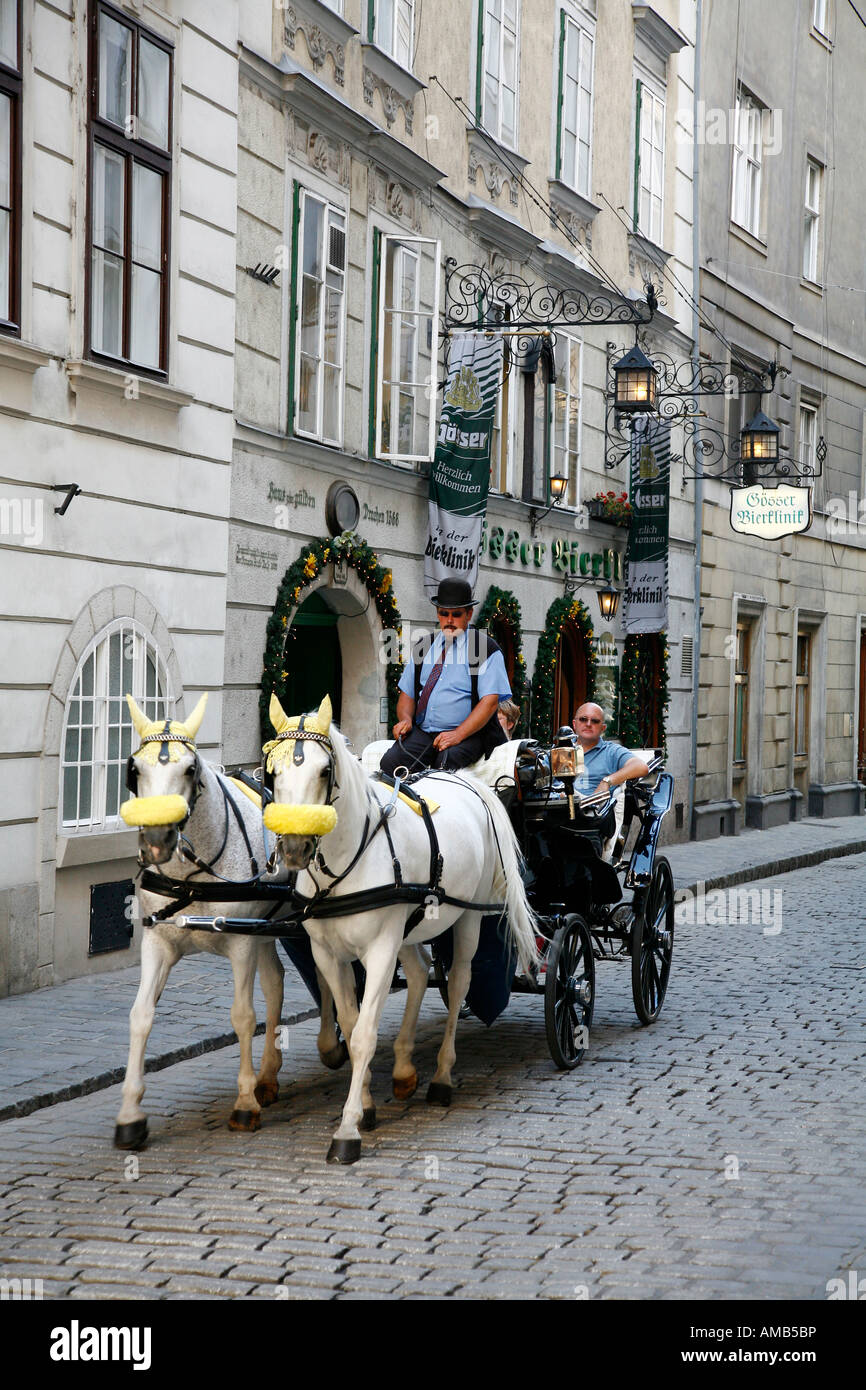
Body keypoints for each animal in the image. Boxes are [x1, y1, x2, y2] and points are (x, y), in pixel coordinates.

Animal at [114, 695, 346, 1150]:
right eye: (136, 770)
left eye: (190, 769)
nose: (157, 842)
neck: (194, 870)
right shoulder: (159, 941)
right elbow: (140, 1015)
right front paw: (130, 1114)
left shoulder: (240, 942)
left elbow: (242, 1016)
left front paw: (243, 1104)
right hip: (269, 927)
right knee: (276, 983)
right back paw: (268, 1076)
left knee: (321, 975)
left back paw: (326, 1046)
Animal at [261, 692, 539, 1162]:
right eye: (274, 772)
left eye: (323, 771)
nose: (295, 848)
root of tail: (469, 783)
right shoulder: (328, 954)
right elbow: (352, 1023)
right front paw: (367, 1105)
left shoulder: (379, 949)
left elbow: (364, 1035)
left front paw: (348, 1130)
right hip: (409, 927)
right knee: (419, 973)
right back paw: (406, 1069)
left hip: (466, 917)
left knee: (459, 982)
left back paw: (442, 1077)